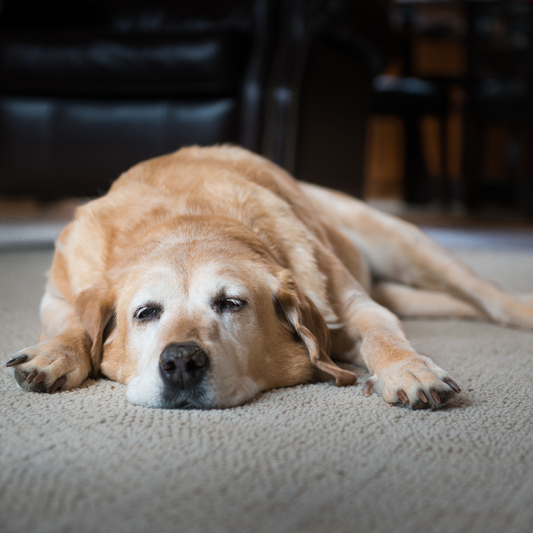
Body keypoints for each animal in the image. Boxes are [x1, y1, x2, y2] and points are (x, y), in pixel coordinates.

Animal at [5, 145, 532, 408]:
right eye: (146, 313)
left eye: (231, 303)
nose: (181, 362)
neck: (188, 219)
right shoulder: (57, 294)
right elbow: (75, 322)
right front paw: (55, 354)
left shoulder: (357, 306)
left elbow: (382, 336)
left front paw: (408, 369)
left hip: (404, 244)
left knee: (487, 294)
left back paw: (519, 308)